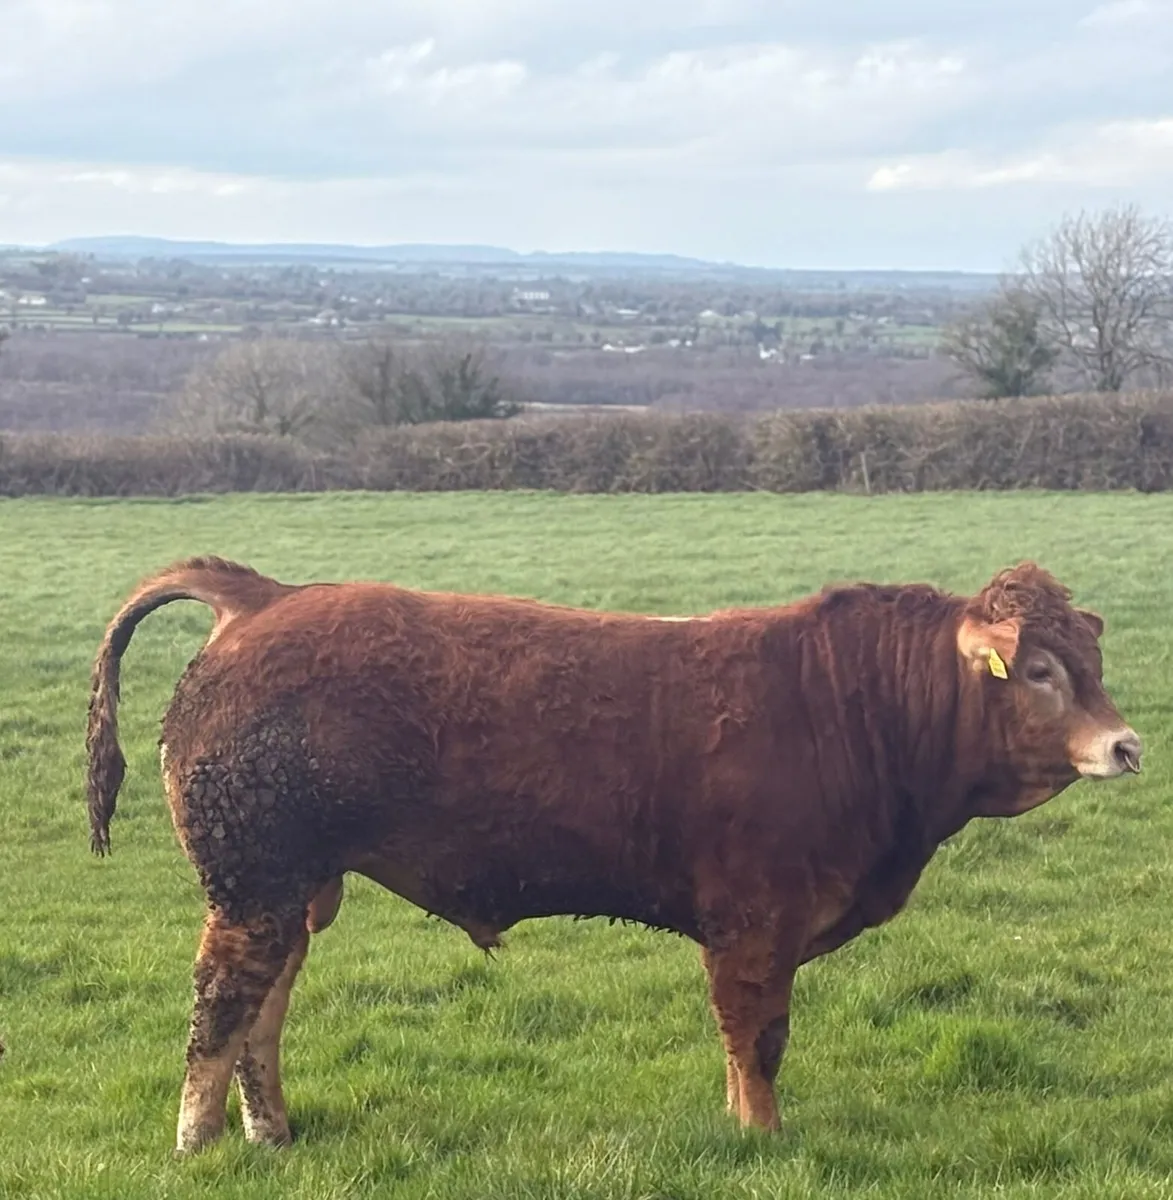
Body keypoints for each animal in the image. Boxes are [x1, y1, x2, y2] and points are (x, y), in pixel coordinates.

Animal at [85, 557, 1141, 1154]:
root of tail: (262, 599)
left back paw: (271, 1134)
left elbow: (739, 1042)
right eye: (1037, 671)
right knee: (221, 1003)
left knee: (264, 1008)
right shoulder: (754, 922)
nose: (1127, 745)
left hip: (295, 889)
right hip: (253, 884)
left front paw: (738, 1128)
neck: (852, 708)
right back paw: (196, 1143)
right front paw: (762, 1139)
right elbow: (757, 1037)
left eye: (1090, 664)